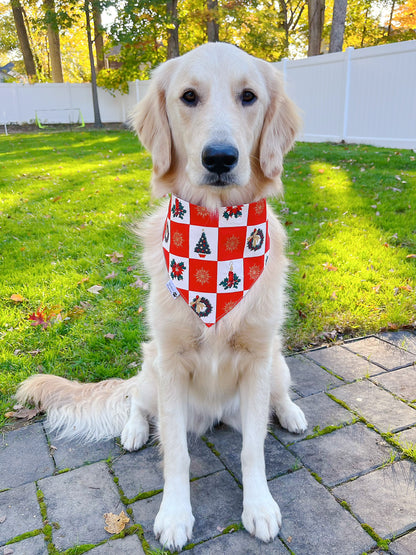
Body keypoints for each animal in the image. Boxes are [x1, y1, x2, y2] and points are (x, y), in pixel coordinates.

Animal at [17, 42, 306, 552]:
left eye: (249, 97)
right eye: (188, 96)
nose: (220, 158)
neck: (219, 234)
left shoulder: (257, 358)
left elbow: (253, 449)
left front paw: (260, 507)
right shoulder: (171, 364)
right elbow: (176, 454)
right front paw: (174, 515)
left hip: (275, 360)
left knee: (279, 394)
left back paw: (290, 413)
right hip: (151, 365)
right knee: (137, 399)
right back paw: (133, 430)